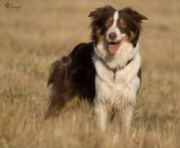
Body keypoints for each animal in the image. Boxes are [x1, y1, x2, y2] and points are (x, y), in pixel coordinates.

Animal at [44, 5, 146, 134]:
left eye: (123, 25)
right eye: (107, 23)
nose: (112, 35)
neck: (115, 65)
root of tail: (76, 49)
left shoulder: (127, 102)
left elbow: (125, 128)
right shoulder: (100, 101)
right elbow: (101, 127)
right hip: (67, 94)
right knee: (49, 114)